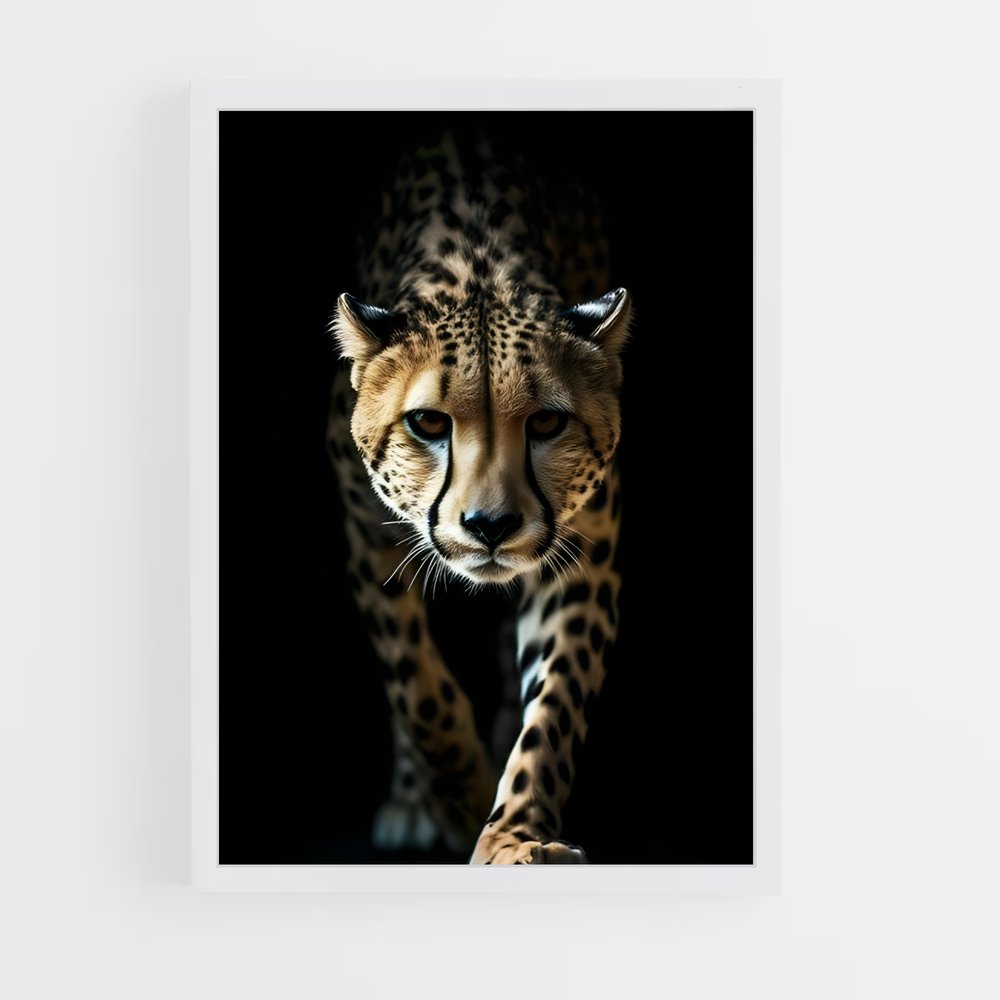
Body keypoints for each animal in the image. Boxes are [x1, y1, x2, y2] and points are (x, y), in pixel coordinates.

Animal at [326, 131, 629, 864]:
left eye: (546, 422)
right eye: (427, 423)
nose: (490, 525)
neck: (479, 262)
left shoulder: (585, 549)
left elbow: (554, 701)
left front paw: (515, 835)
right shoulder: (365, 536)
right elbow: (416, 686)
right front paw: (460, 794)